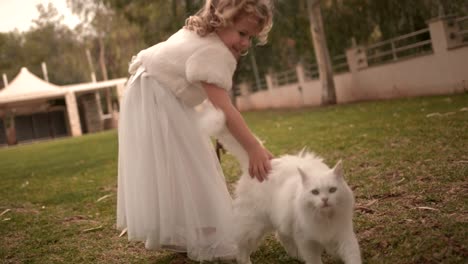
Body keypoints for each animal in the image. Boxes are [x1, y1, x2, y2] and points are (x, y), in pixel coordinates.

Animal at [197, 104, 362, 264]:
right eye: (315, 192)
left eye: (332, 190)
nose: (325, 200)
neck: (325, 217)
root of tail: (257, 164)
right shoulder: (307, 241)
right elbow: (314, 260)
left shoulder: (344, 236)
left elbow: (353, 257)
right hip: (254, 226)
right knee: (242, 249)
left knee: (281, 236)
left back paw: (297, 256)